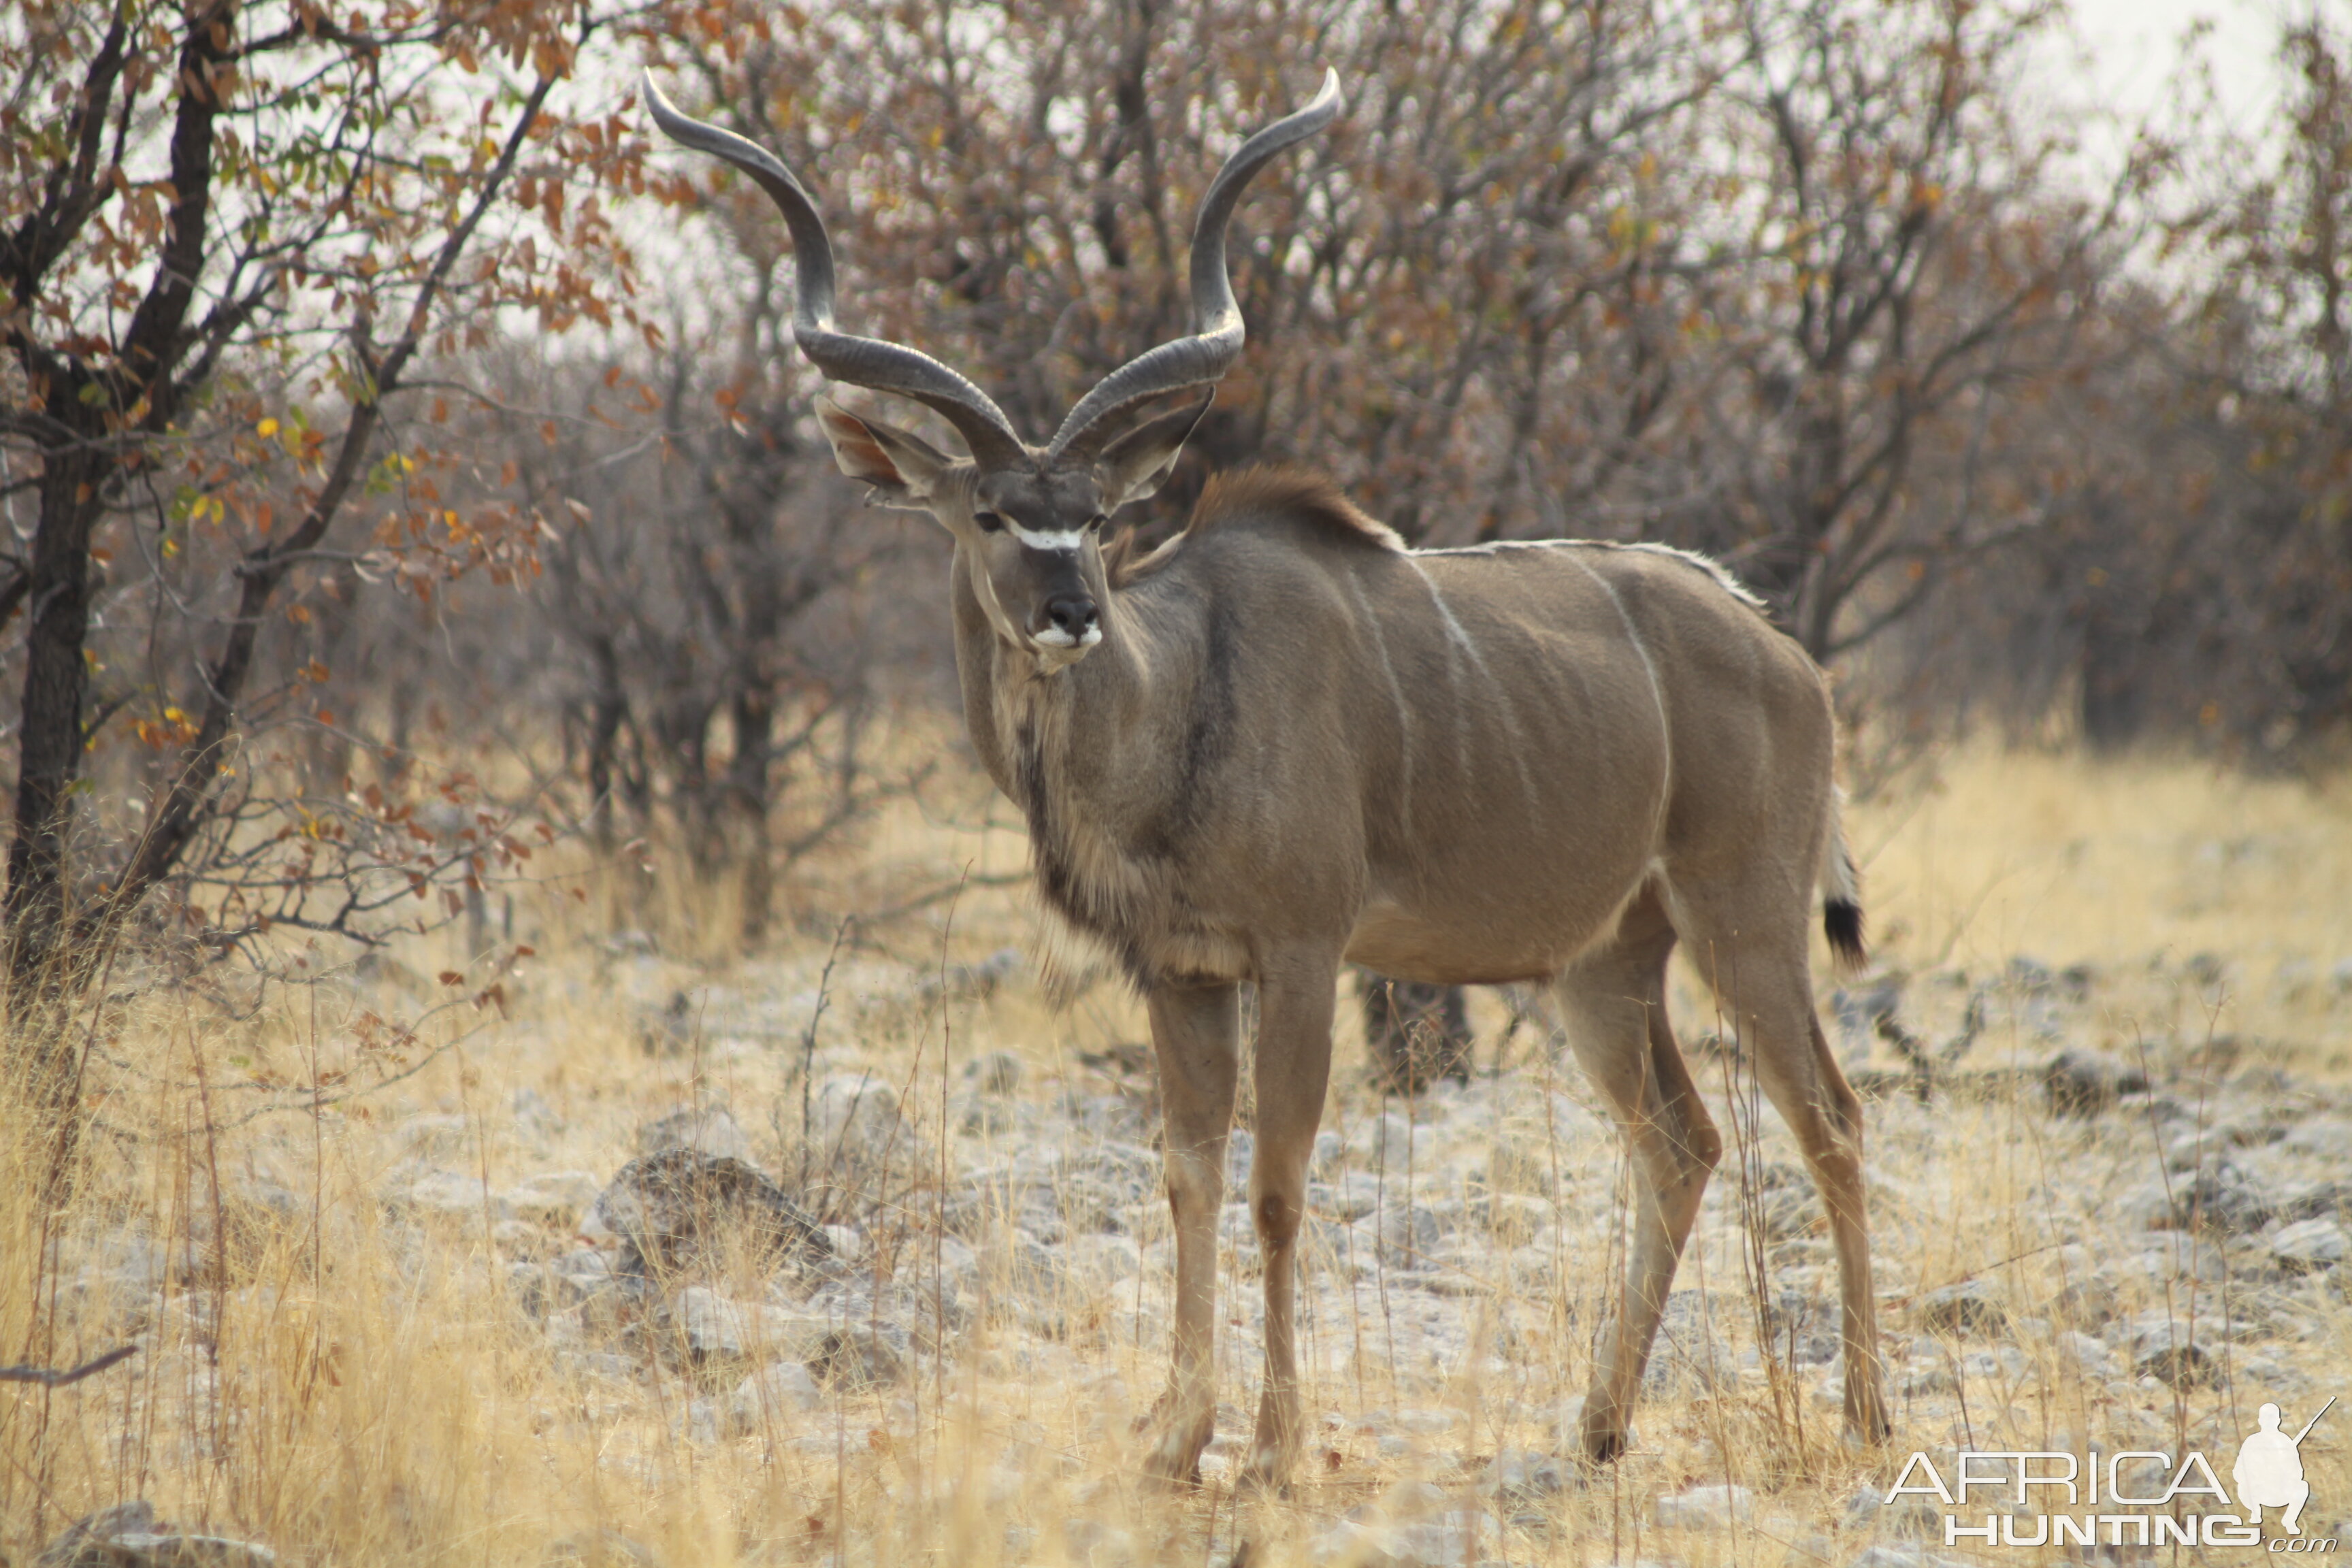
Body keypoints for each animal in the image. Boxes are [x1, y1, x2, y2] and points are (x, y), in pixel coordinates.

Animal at [644, 70, 1891, 1486]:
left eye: (1100, 517)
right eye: (990, 514)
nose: (1071, 610)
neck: (1179, 696)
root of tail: (1787, 654)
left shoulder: (1300, 953)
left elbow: (1277, 1184)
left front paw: (1274, 1446)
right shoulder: (1180, 974)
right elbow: (1187, 1173)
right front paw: (1178, 1433)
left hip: (1743, 920)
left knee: (1832, 1119)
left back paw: (1863, 1414)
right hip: (1604, 959)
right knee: (1681, 1138)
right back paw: (1599, 1420)